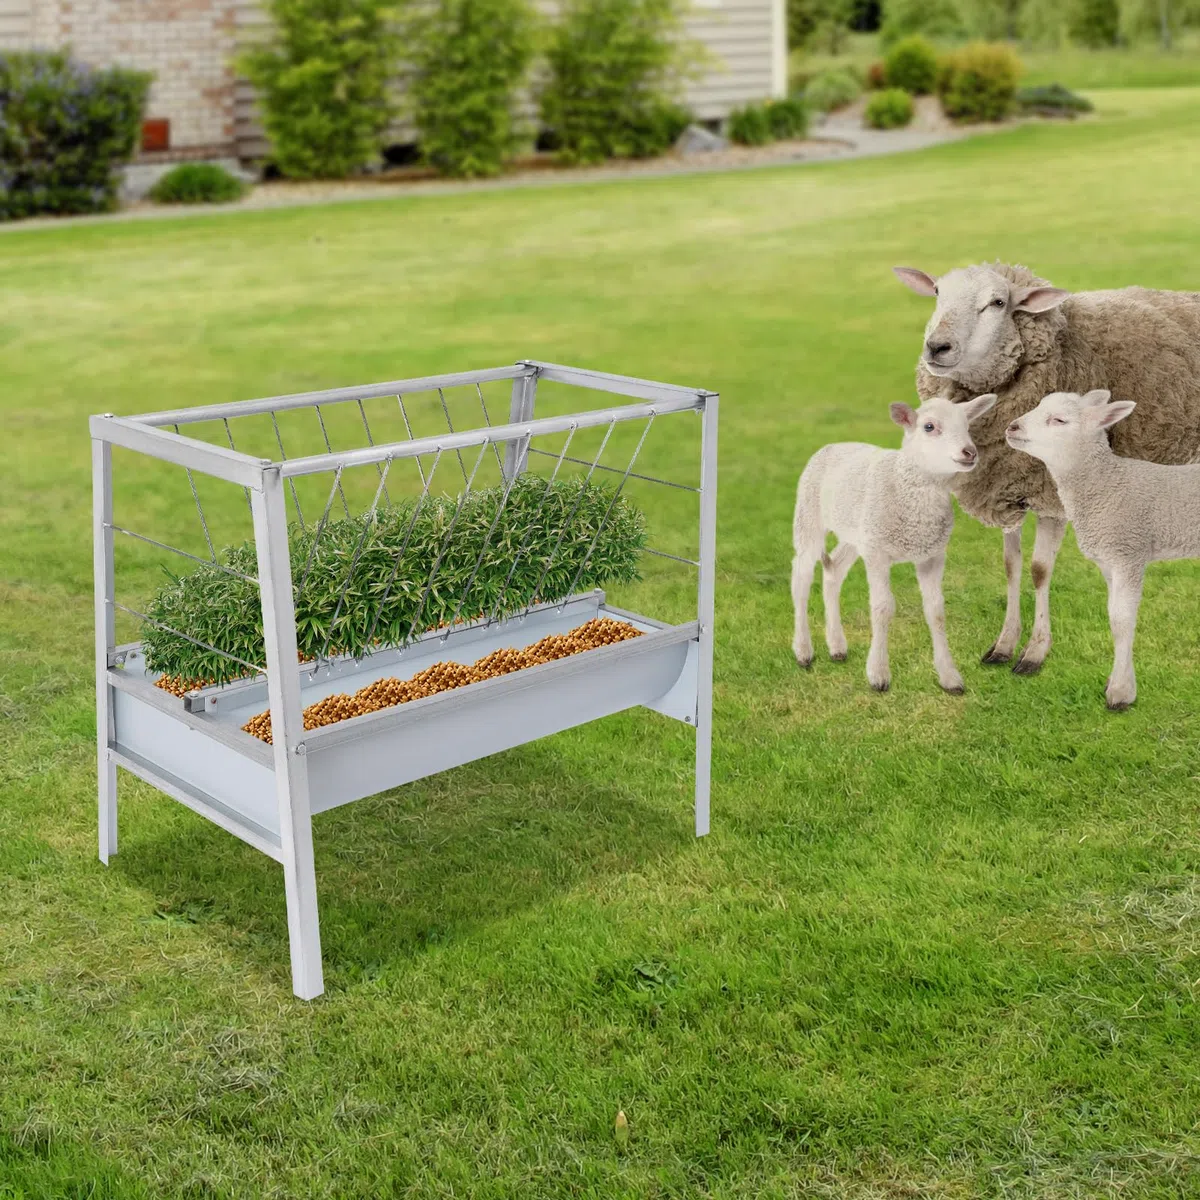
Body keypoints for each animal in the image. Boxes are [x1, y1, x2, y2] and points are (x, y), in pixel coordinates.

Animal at [792, 392, 997, 693]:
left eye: (967, 425)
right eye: (929, 427)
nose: (969, 452)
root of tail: (834, 444)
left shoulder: (932, 554)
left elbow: (936, 611)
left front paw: (950, 677)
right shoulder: (878, 553)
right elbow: (882, 607)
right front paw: (878, 674)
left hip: (857, 532)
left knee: (833, 571)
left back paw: (837, 646)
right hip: (809, 515)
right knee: (801, 579)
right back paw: (803, 651)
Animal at [892, 261, 1200, 676]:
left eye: (998, 302)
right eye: (937, 292)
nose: (936, 347)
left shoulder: (1052, 494)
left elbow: (1039, 570)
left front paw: (1034, 653)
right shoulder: (1008, 490)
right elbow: (1010, 565)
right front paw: (1004, 645)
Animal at [1006, 389, 1200, 711]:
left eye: (1059, 420)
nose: (1012, 427)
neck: (1105, 482)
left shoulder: (1128, 552)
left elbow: (1121, 619)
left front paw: (1120, 693)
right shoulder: (1109, 560)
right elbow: (1114, 616)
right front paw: (1120, 680)